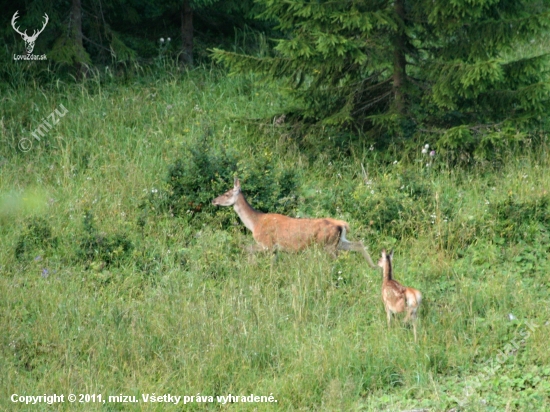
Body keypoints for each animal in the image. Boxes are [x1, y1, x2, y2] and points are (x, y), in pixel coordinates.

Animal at [212, 176, 380, 268]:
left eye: (227, 193)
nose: (214, 200)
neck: (255, 223)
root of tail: (343, 224)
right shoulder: (275, 249)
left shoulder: (267, 244)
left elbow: (247, 249)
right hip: (339, 242)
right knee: (359, 244)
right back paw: (374, 266)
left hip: (328, 245)